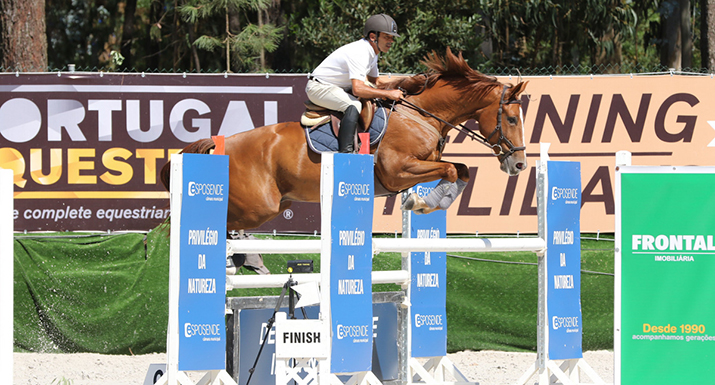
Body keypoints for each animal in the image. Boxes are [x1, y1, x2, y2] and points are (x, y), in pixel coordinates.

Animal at [164, 49, 532, 232]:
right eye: (512, 119)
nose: (519, 164)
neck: (421, 114)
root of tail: (220, 144)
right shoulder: (398, 171)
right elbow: (454, 170)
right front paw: (423, 202)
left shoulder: (421, 165)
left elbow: (462, 169)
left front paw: (427, 202)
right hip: (257, 208)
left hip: (270, 206)